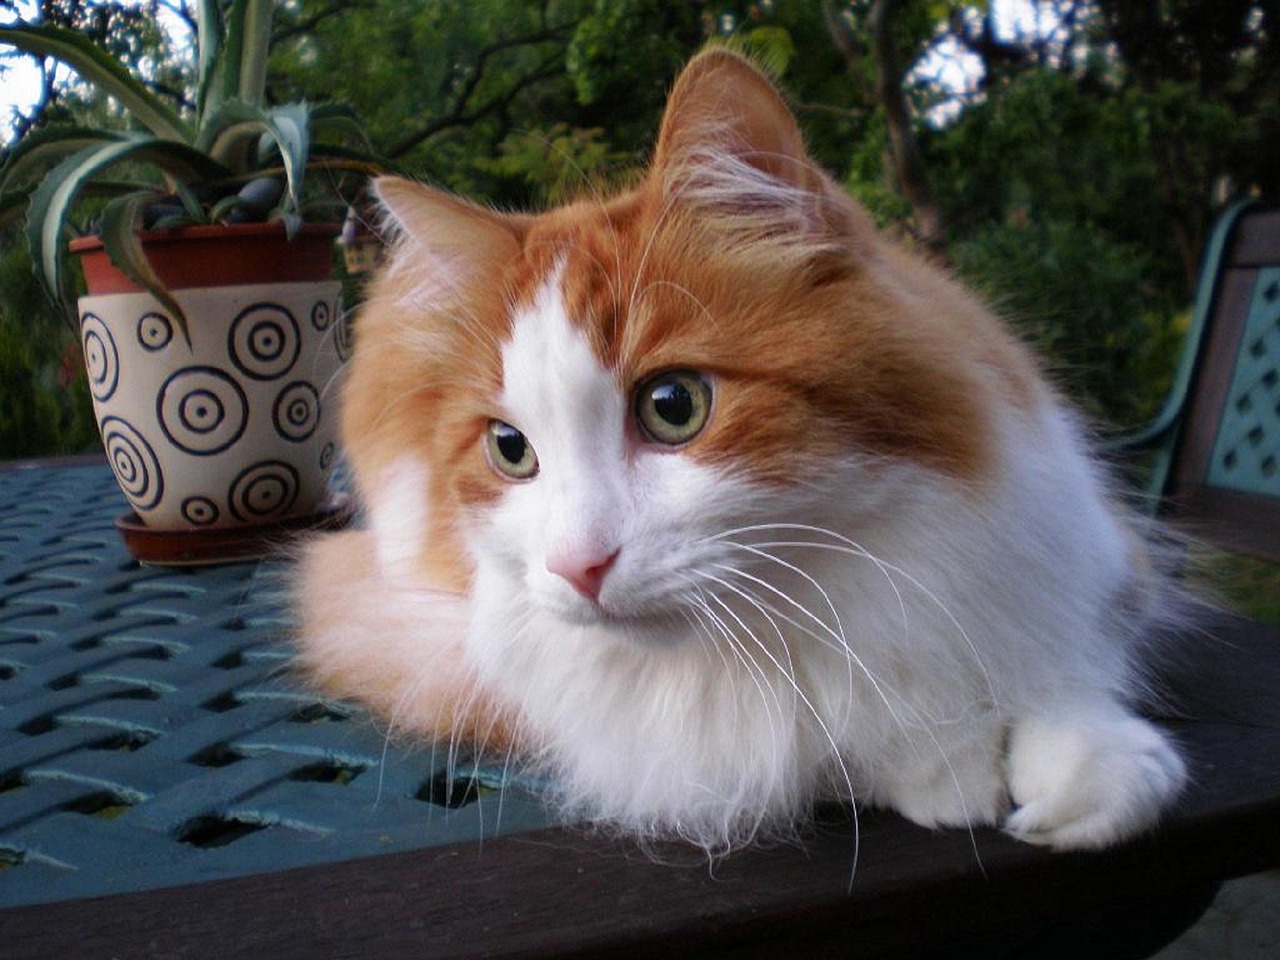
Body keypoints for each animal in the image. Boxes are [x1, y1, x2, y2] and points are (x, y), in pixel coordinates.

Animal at [296, 47, 1187, 855]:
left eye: (673, 406)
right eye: (510, 449)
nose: (577, 567)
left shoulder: (1088, 538)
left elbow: (1081, 651)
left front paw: (1089, 760)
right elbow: (808, 743)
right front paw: (946, 764)